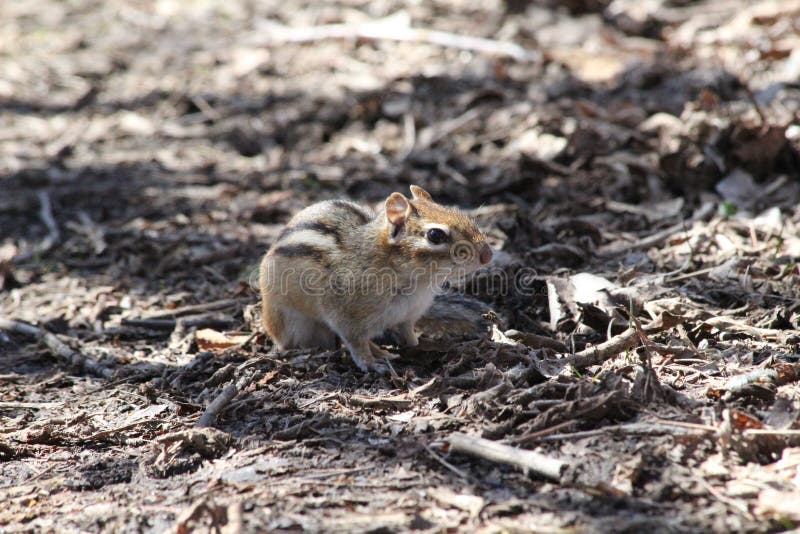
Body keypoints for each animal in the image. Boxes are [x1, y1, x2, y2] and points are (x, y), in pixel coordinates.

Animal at [259, 185, 493, 372]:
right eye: (435, 236)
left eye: (459, 213)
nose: (487, 255)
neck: (417, 283)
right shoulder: (345, 316)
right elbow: (356, 343)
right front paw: (370, 362)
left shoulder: (409, 315)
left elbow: (408, 334)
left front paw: (419, 345)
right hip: (294, 325)